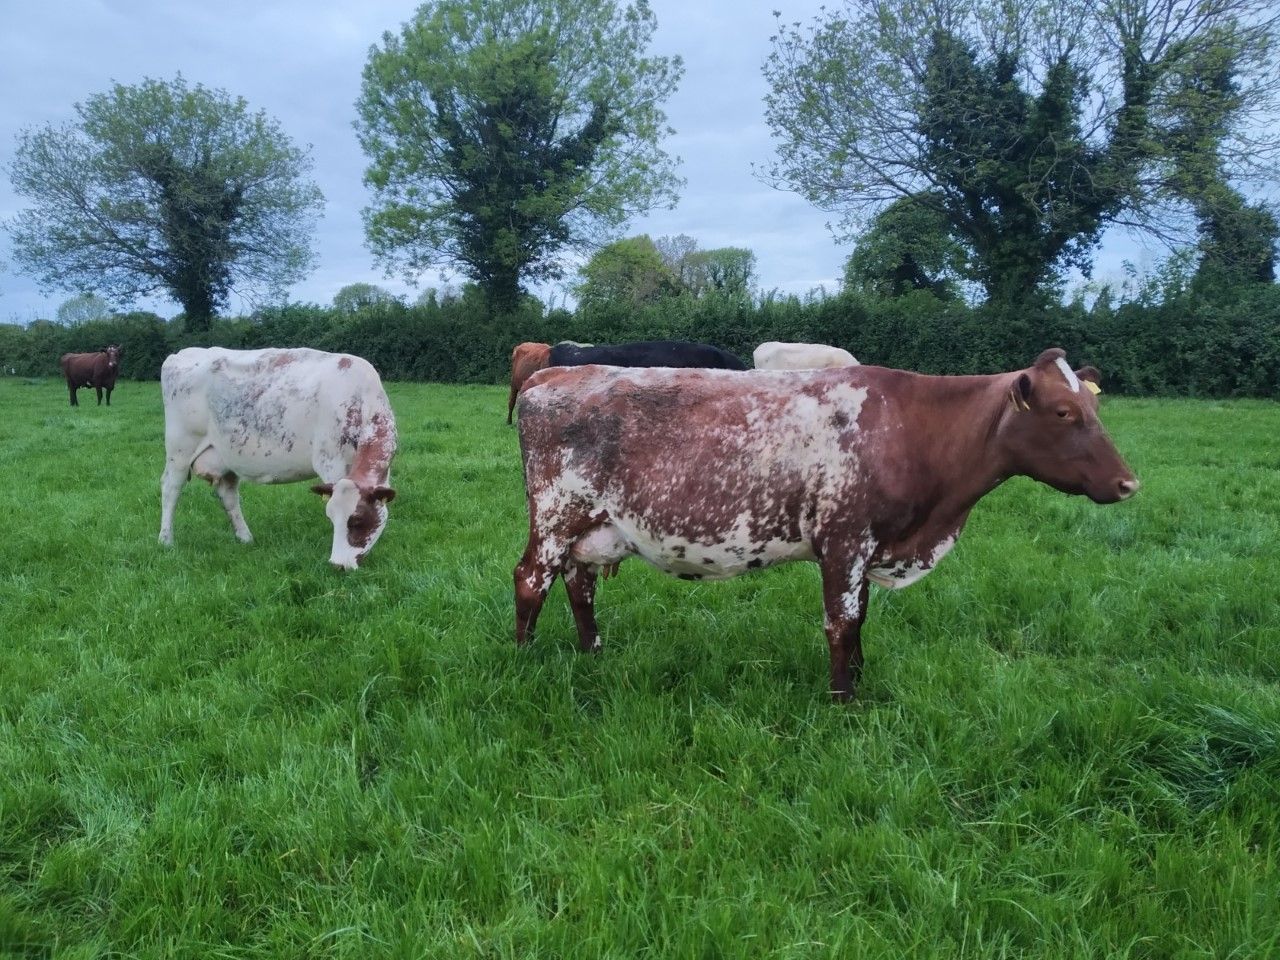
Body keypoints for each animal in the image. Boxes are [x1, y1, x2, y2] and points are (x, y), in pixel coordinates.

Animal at [158, 347, 398, 570]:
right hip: (180, 449)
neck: (360, 396)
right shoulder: (331, 462)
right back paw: (166, 540)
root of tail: (183, 353)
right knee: (171, 489)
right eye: (331, 517)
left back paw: (245, 538)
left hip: (225, 457)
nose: (338, 564)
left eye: (357, 520)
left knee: (228, 495)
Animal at [513, 348, 1138, 701]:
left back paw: (593, 654)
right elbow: (841, 623)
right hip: (556, 513)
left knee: (579, 585)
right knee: (530, 580)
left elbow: (859, 620)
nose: (1129, 484)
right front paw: (842, 701)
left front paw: (859, 680)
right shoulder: (845, 541)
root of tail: (555, 375)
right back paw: (523, 658)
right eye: (1064, 413)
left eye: (1096, 408)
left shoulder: (869, 546)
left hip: (591, 529)